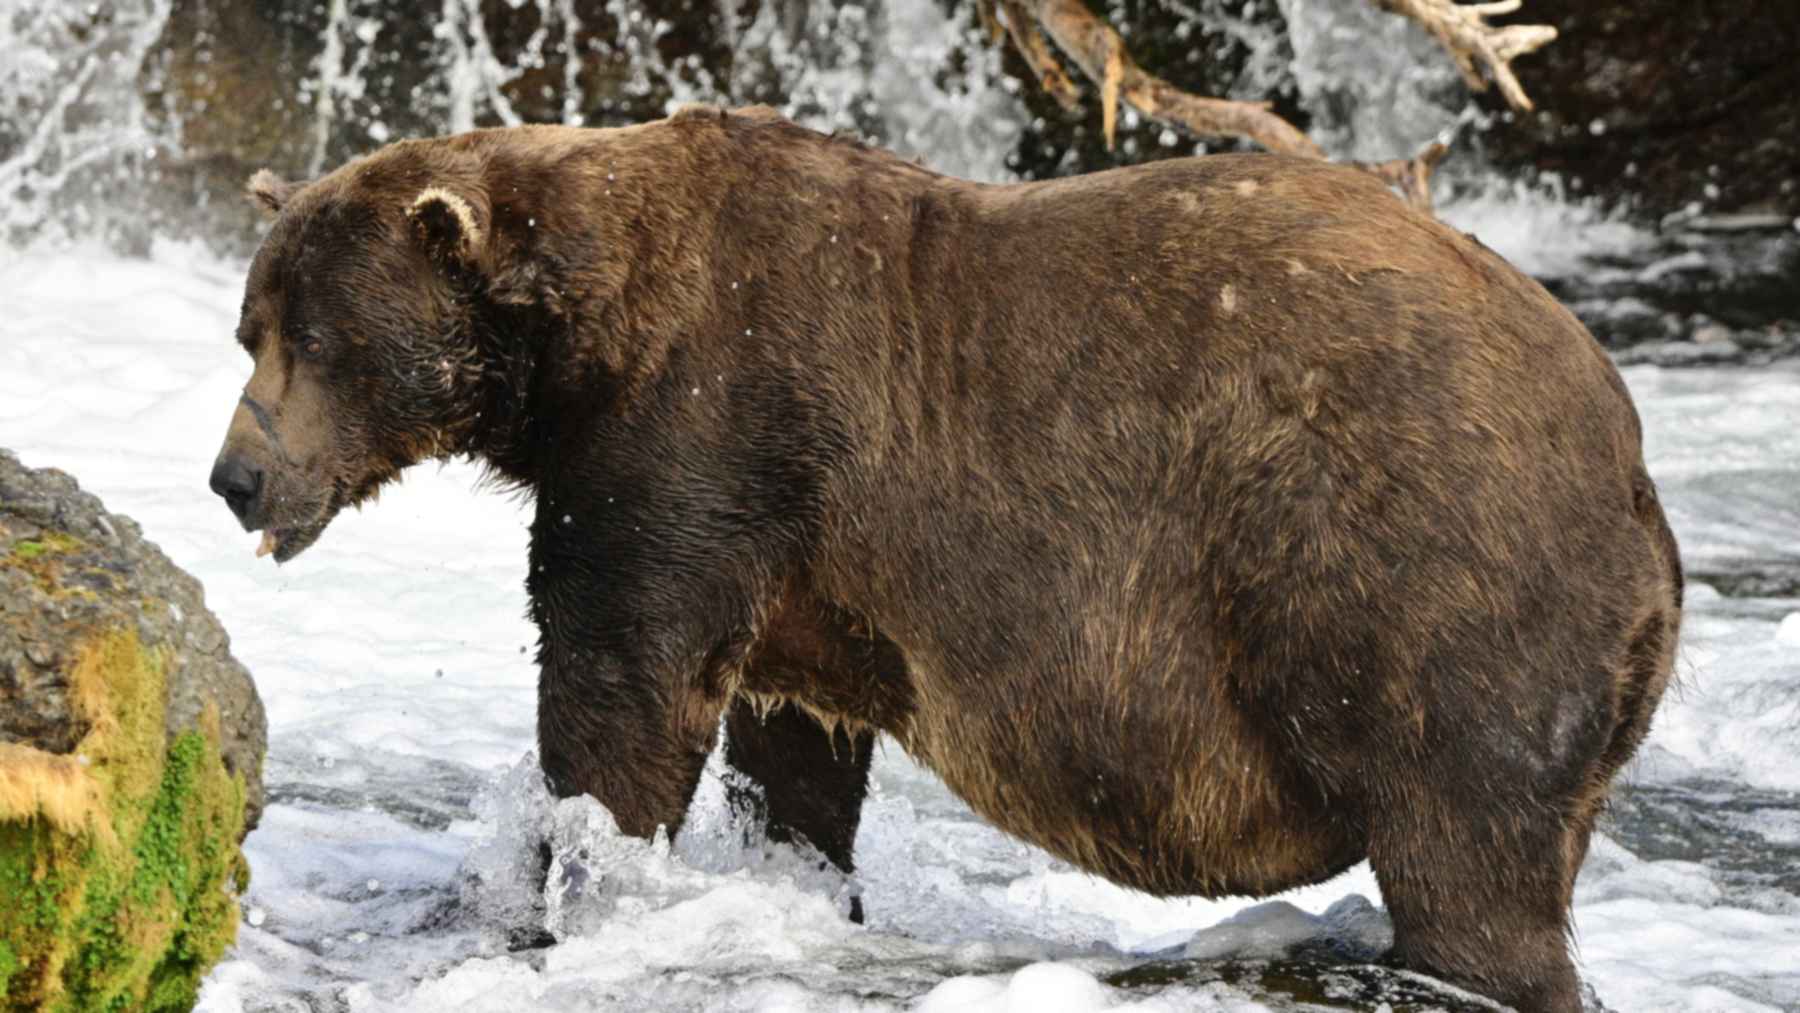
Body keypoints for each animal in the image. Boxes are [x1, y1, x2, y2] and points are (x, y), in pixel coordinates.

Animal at [208, 105, 1681, 1012]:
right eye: (251, 325)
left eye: (319, 338)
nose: (235, 477)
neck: (577, 345)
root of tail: (1632, 463)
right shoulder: (803, 556)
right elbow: (792, 747)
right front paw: (793, 876)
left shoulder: (705, 426)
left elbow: (619, 690)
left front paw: (561, 885)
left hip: (1421, 571)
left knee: (1468, 856)